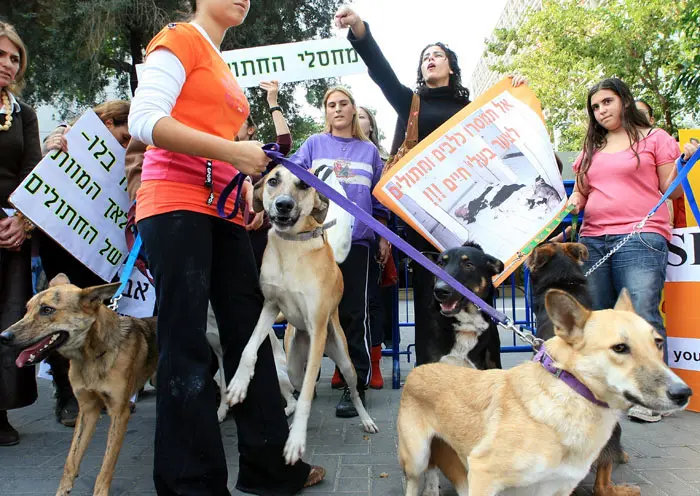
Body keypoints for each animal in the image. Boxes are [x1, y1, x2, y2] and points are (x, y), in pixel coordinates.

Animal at [0, 276, 156, 496]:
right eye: (27, 309)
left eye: (47, 310)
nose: (3, 337)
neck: (91, 356)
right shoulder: (87, 409)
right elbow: (71, 460)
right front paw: (62, 491)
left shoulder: (119, 413)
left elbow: (106, 465)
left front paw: (100, 491)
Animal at [396, 288, 692, 494]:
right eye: (620, 348)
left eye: (658, 343)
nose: (684, 393)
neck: (572, 395)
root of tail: (421, 369)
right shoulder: (482, 474)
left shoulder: (556, 488)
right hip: (416, 459)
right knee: (414, 482)